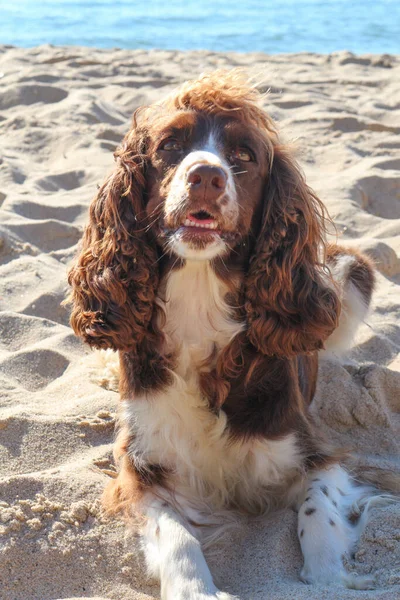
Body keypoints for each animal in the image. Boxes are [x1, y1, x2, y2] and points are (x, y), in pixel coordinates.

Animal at [69, 71, 384, 600]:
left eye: (244, 156)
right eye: (170, 146)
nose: (206, 177)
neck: (200, 302)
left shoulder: (315, 453)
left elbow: (317, 511)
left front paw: (328, 578)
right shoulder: (142, 470)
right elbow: (176, 536)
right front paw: (193, 587)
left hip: (350, 272)